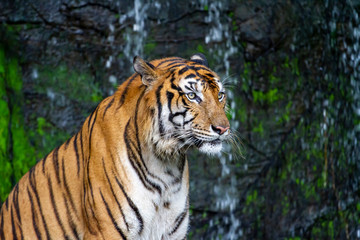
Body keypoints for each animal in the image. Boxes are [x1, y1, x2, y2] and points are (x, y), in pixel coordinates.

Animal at [0, 53, 231, 239]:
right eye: (192, 96)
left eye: (220, 95)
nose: (223, 128)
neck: (166, 164)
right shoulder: (105, 229)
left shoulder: (173, 231)